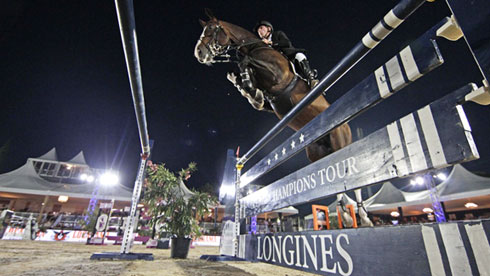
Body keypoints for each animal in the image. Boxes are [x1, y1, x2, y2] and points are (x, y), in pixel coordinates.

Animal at [194, 10, 372, 226]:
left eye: (211, 29)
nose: (199, 53)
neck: (255, 45)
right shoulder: (271, 104)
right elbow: (251, 90)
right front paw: (245, 86)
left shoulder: (278, 75)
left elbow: (247, 62)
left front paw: (245, 78)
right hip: (318, 153)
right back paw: (345, 214)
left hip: (341, 142)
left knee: (352, 178)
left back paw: (363, 215)